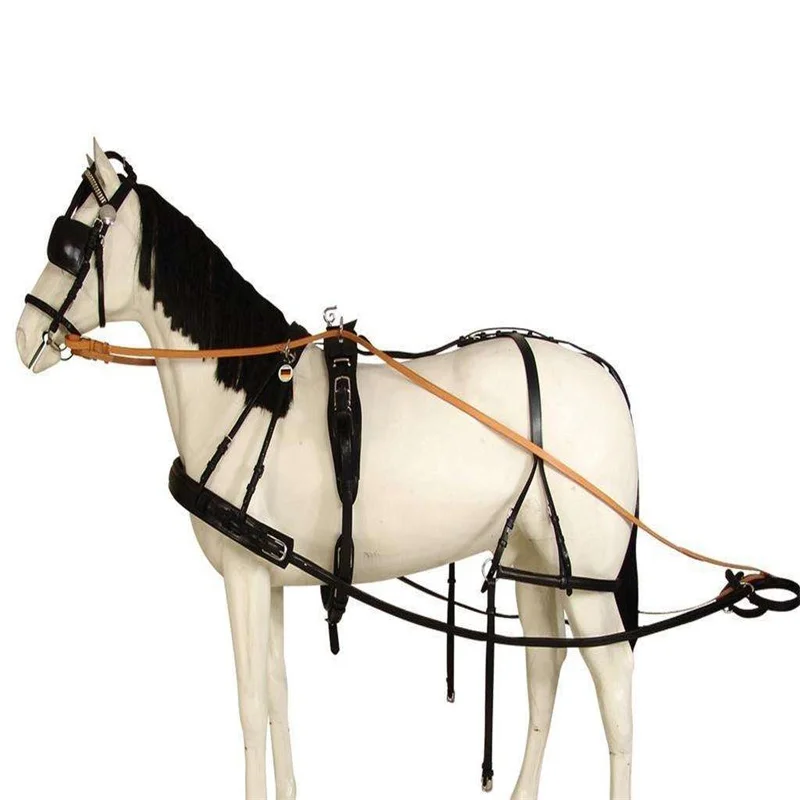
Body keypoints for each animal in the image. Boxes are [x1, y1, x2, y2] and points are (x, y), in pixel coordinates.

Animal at [16, 141, 639, 800]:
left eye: (72, 241)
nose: (25, 335)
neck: (253, 393)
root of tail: (606, 378)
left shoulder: (242, 576)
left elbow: (249, 706)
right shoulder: (266, 577)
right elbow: (276, 698)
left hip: (587, 580)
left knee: (615, 687)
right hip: (534, 560)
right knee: (545, 670)